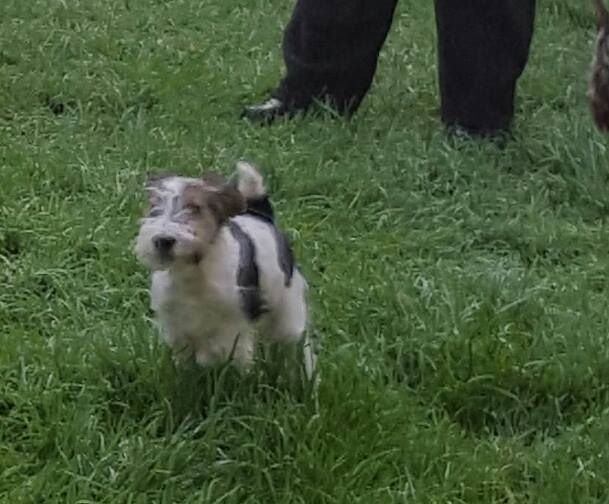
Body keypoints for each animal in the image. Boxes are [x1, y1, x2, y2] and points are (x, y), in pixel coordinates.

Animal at [134, 161, 316, 379]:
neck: (193, 271)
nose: (163, 240)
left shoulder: (233, 326)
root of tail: (261, 215)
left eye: (195, 208)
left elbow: (222, 350)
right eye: (154, 206)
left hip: (288, 309)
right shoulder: (177, 327)